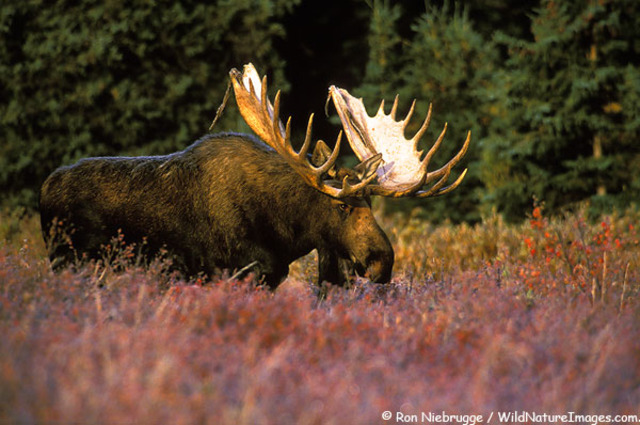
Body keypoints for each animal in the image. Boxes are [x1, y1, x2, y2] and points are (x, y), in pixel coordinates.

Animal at [39, 63, 469, 289]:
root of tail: (44, 188)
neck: (286, 232)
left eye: (371, 206)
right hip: (69, 261)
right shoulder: (237, 272)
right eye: (342, 207)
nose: (384, 262)